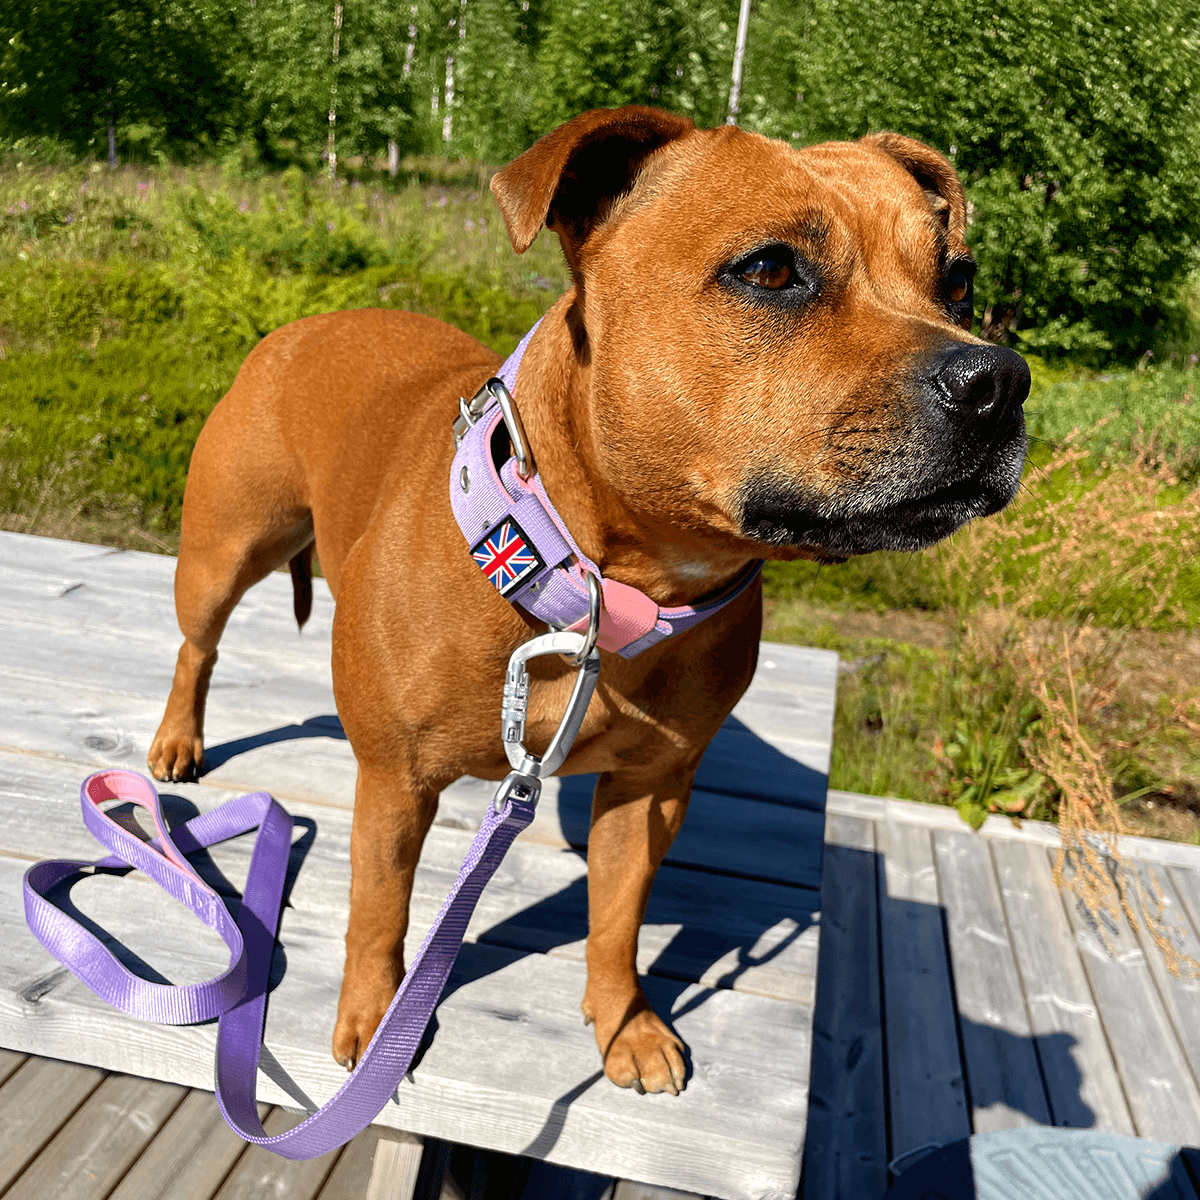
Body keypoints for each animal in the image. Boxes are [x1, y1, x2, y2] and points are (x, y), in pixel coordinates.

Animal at [147, 105, 1032, 1099]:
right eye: (770, 269)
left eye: (958, 281)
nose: (999, 381)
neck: (608, 591)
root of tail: (308, 322)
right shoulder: (395, 783)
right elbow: (380, 911)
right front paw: (375, 1025)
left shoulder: (650, 792)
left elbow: (617, 917)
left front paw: (625, 1022)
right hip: (225, 550)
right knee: (197, 645)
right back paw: (177, 740)